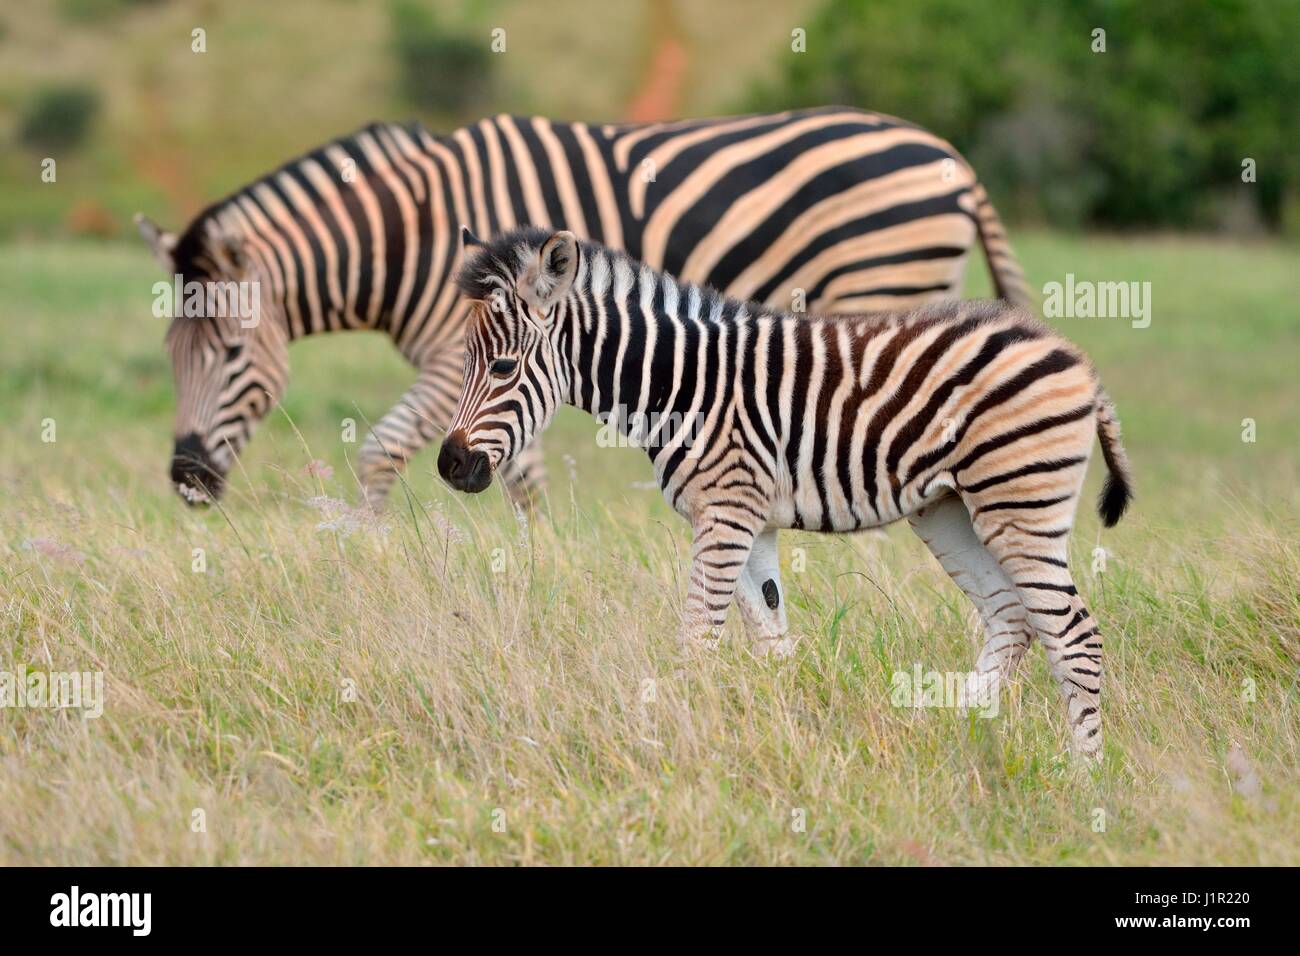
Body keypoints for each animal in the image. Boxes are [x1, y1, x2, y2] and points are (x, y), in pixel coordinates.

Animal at [137, 105, 1029, 509]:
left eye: (230, 355)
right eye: (170, 358)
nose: (185, 480)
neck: (412, 231)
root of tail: (951, 157)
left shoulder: (453, 356)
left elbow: (382, 452)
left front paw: (363, 556)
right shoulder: (509, 367)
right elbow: (518, 472)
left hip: (884, 287)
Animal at [441, 227, 1133, 759]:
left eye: (502, 367)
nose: (451, 465)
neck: (677, 384)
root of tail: (1076, 358)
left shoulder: (725, 513)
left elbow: (697, 638)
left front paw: (673, 741)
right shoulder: (749, 520)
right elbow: (770, 640)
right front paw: (779, 741)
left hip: (1019, 504)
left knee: (1074, 634)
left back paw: (1081, 776)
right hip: (949, 510)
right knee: (1011, 616)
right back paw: (944, 731)